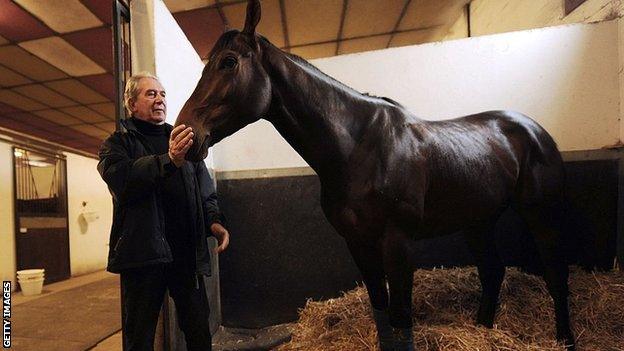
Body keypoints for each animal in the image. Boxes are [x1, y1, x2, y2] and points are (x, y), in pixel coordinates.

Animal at [176, 1, 576, 350]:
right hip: (478, 221)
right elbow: (382, 313)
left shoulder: (397, 242)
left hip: (541, 215)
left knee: (556, 275)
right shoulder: (358, 242)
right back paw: (483, 331)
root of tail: (533, 130)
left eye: (228, 62)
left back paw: (565, 339)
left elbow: (400, 318)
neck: (358, 147)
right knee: (493, 272)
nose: (184, 133)